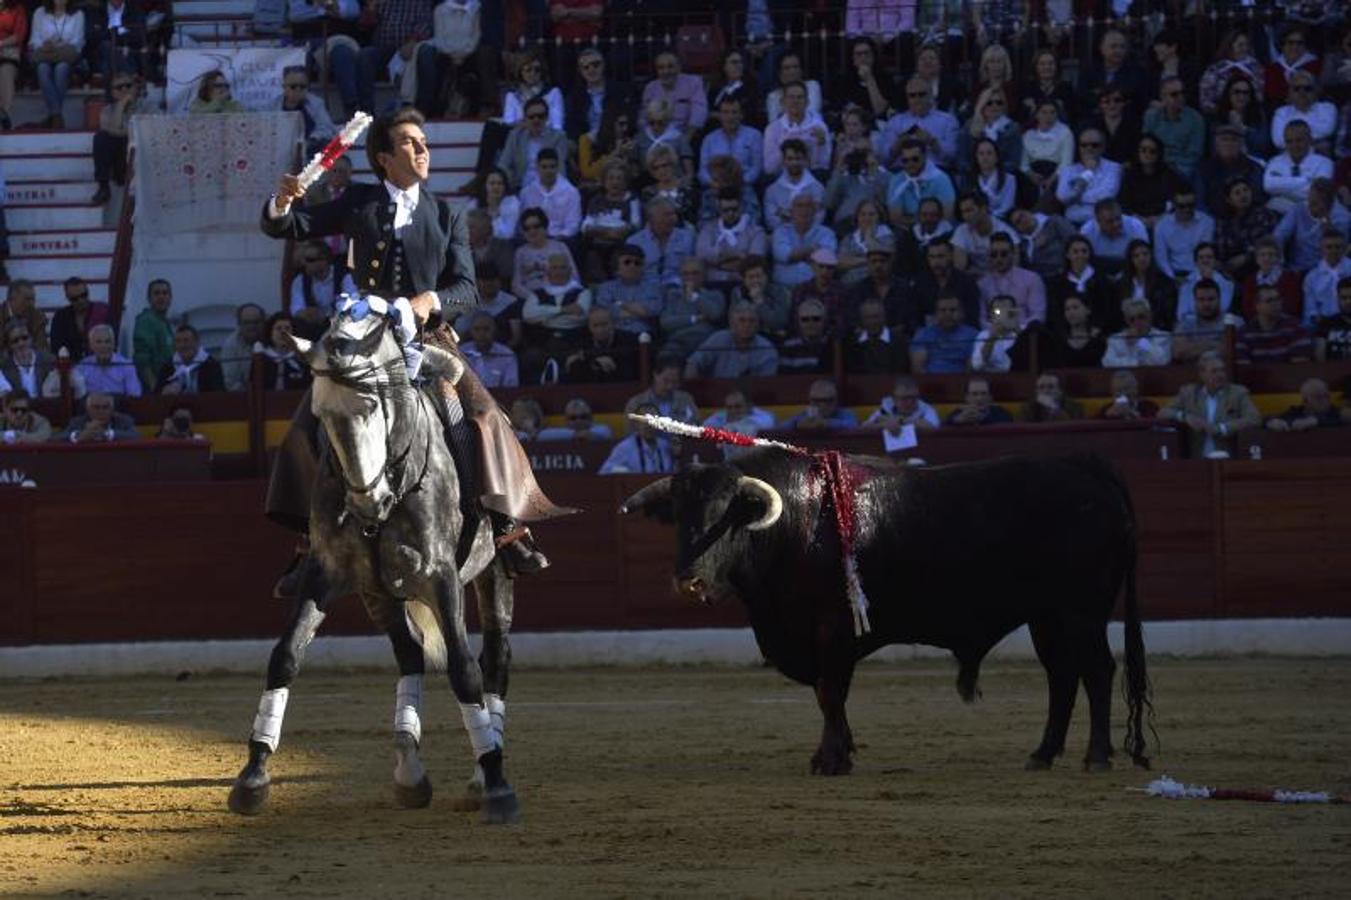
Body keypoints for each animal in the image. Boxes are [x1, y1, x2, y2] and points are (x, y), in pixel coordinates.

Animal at [224, 297, 518, 821]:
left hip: (494, 573)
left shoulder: (440, 577)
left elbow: (464, 670)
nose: (367, 503)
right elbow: (285, 656)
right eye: (321, 414)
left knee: (494, 658)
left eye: (372, 405)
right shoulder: (326, 571)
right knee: (411, 652)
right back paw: (410, 770)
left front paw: (498, 783)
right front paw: (253, 775)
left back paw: (481, 774)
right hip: (378, 592)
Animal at [618, 448, 1151, 772]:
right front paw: (841, 751)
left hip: (1082, 610)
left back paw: (1096, 756)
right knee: (1062, 675)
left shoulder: (832, 628)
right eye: (679, 516)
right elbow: (828, 695)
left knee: (1097, 671)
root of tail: (1084, 465)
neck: (798, 522)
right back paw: (1042, 754)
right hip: (1047, 616)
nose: (689, 580)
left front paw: (831, 760)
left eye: (728, 516)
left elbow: (830, 691)